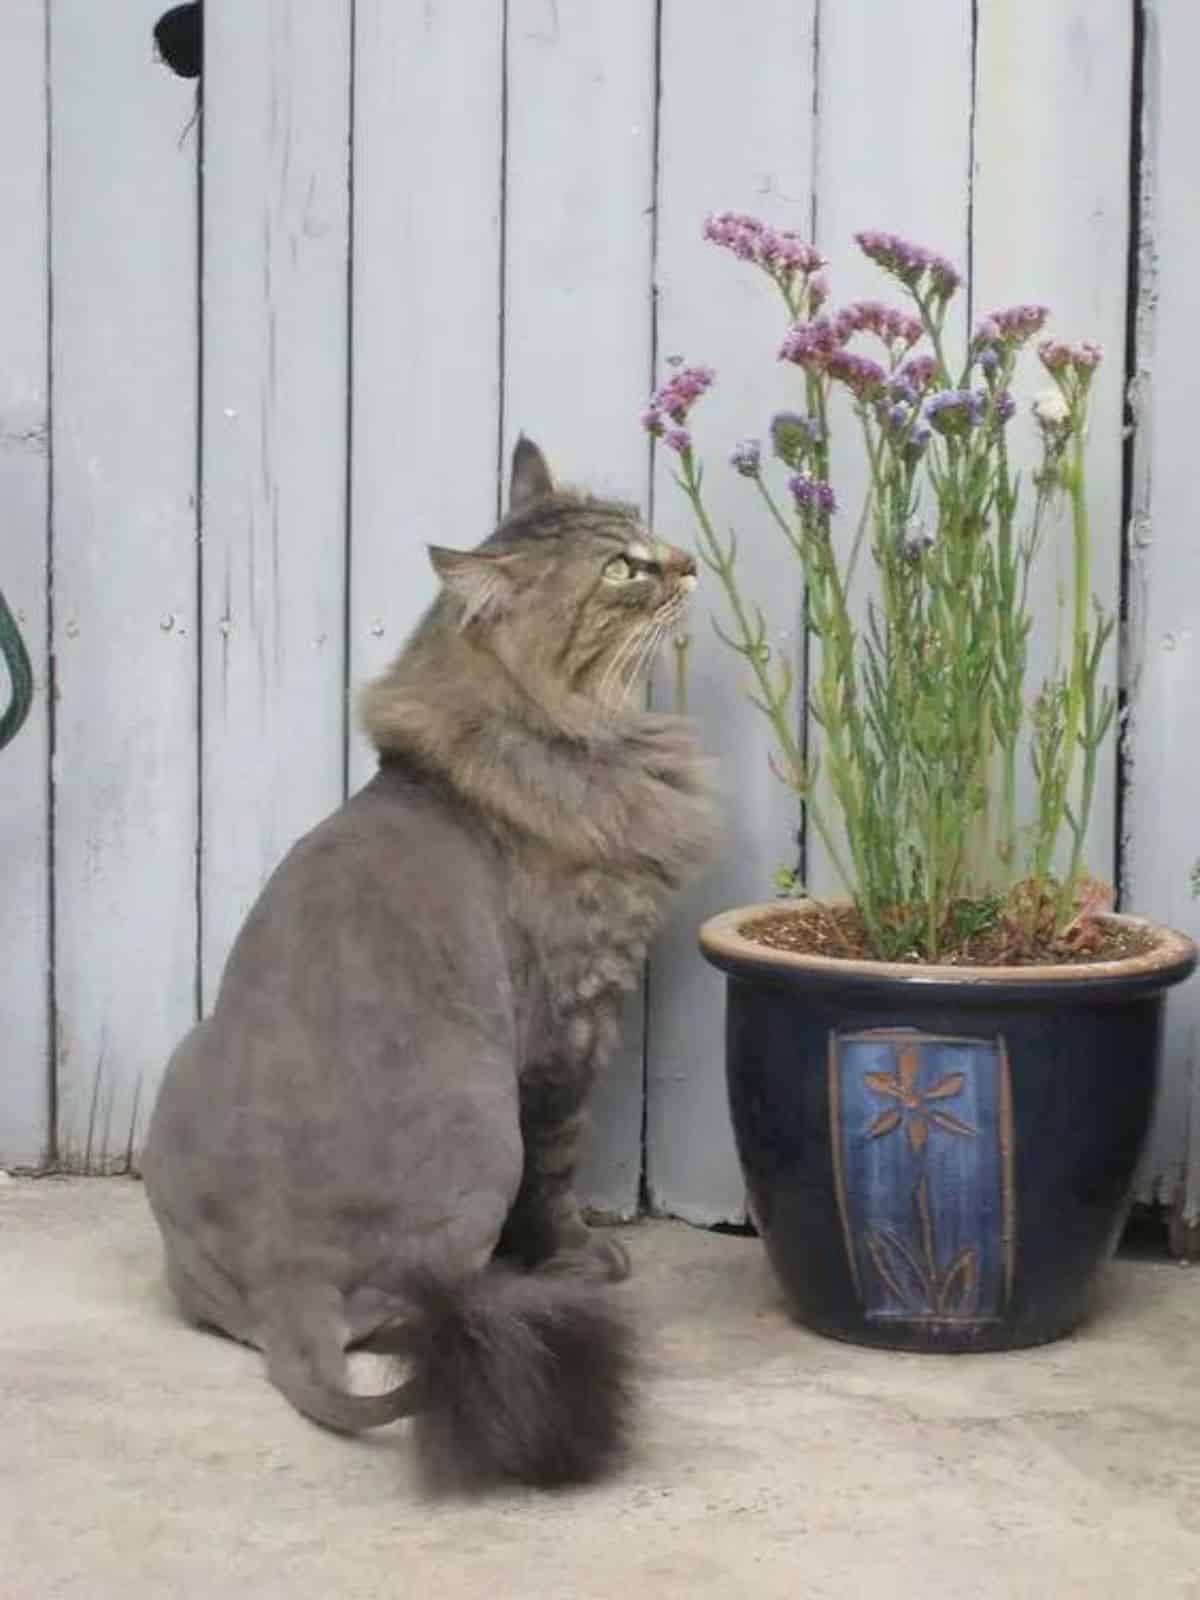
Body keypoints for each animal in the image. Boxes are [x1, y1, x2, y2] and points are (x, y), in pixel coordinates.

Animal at [140, 438, 723, 1484]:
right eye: (622, 570)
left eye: (646, 533)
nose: (686, 563)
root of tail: (290, 1270)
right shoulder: (573, 1019)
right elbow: (560, 1169)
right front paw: (576, 1257)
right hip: (485, 1123)